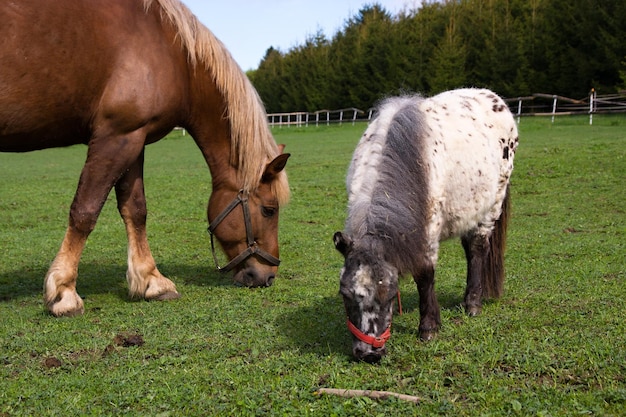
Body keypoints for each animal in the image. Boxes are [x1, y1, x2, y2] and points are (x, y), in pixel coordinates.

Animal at [0, 0, 288, 316]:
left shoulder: (134, 140)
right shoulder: (116, 136)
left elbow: (135, 210)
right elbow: (85, 211)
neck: (171, 50)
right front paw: (63, 291)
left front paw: (151, 281)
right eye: (269, 210)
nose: (268, 276)